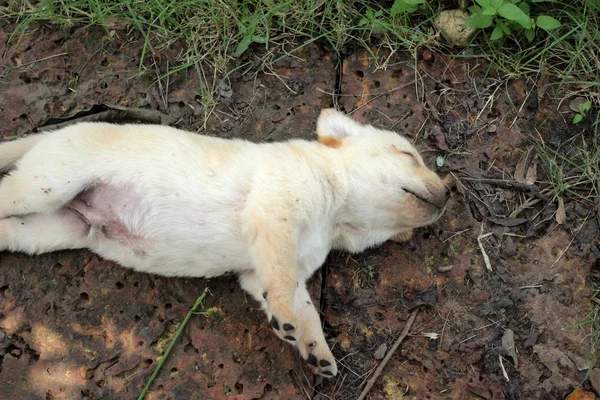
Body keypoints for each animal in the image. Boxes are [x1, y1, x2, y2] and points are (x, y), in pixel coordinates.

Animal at [0, 108, 446, 376]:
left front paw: (315, 348)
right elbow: (282, 283)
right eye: (408, 156)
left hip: (52, 227)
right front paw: (287, 321)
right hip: (49, 183)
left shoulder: (262, 271)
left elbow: (305, 306)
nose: (449, 192)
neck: (335, 214)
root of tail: (52, 134)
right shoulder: (275, 212)